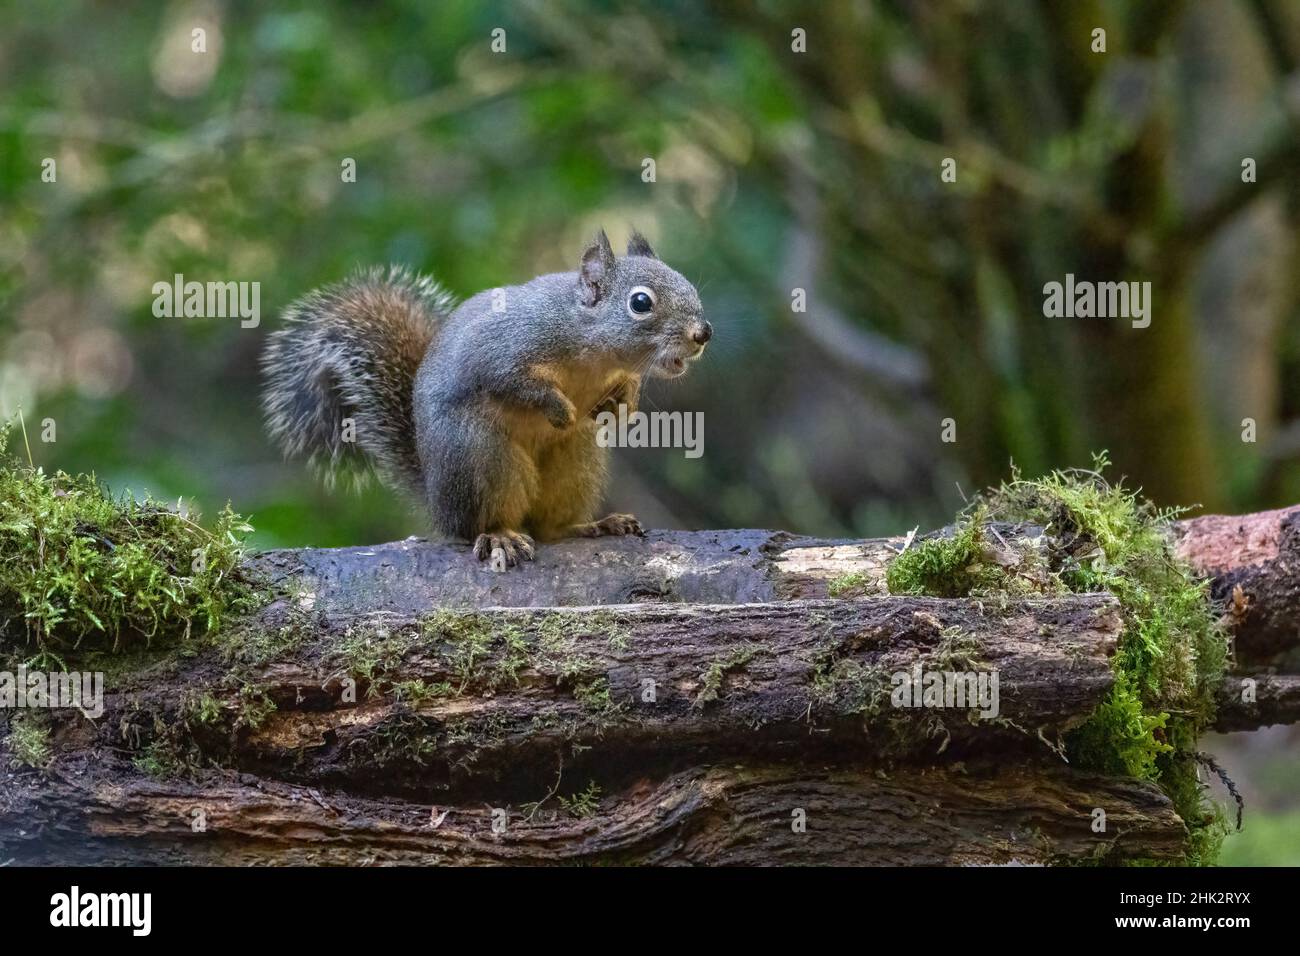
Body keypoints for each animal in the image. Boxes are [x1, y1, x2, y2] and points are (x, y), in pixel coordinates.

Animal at [260, 229, 711, 567]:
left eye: (688, 284)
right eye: (641, 303)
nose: (703, 333)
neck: (592, 348)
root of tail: (437, 502)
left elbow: (625, 389)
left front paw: (621, 407)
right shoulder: (502, 348)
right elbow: (512, 382)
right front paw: (558, 408)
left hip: (576, 462)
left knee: (550, 527)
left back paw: (593, 526)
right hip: (480, 457)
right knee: (481, 522)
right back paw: (499, 537)